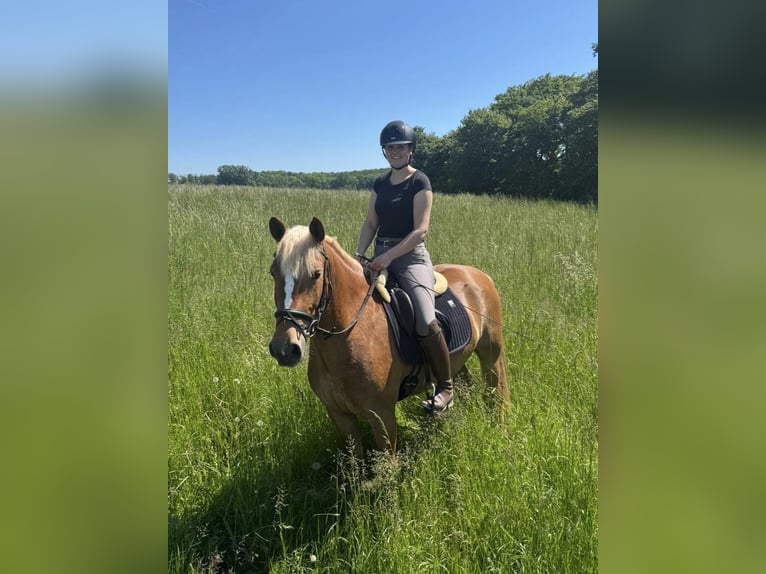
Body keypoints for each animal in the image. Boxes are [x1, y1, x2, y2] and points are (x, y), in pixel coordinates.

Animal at [267, 216, 509, 455]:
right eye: (273, 273)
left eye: (315, 274)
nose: (284, 349)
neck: (350, 333)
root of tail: (478, 274)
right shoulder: (340, 415)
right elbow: (355, 461)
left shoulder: (381, 415)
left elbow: (388, 463)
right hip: (457, 361)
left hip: (491, 353)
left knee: (497, 394)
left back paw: (499, 433)